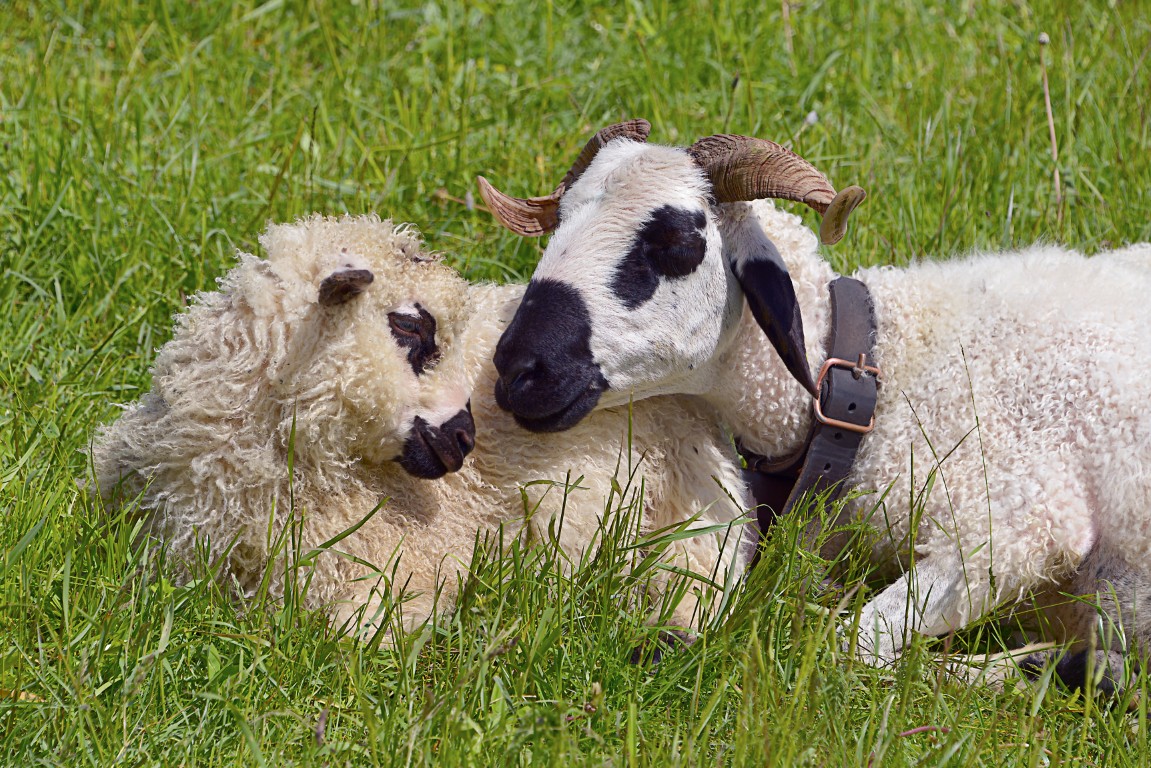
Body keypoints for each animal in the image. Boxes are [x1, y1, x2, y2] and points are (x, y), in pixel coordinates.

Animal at [477, 121, 1151, 689]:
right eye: (561, 220)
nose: (517, 369)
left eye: (677, 240)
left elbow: (843, 644)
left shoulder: (1019, 525)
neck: (883, 372)